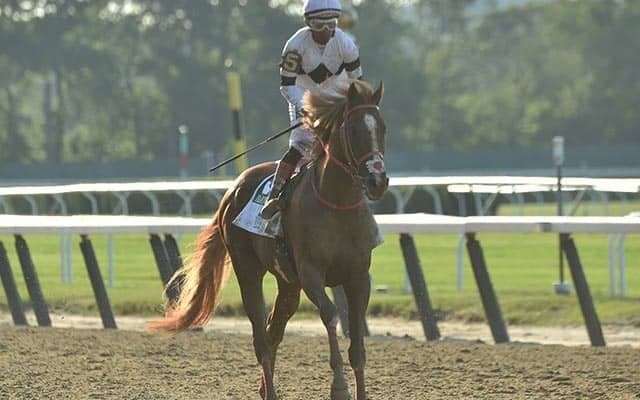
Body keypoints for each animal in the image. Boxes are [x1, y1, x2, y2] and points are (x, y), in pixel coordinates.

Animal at [149, 79, 388, 400]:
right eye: (354, 129)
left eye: (382, 127)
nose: (378, 181)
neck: (337, 204)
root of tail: (232, 189)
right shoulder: (311, 273)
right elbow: (330, 315)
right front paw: (339, 386)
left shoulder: (358, 276)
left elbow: (357, 340)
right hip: (249, 270)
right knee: (261, 335)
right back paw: (270, 390)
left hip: (288, 283)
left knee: (274, 330)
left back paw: (266, 388)